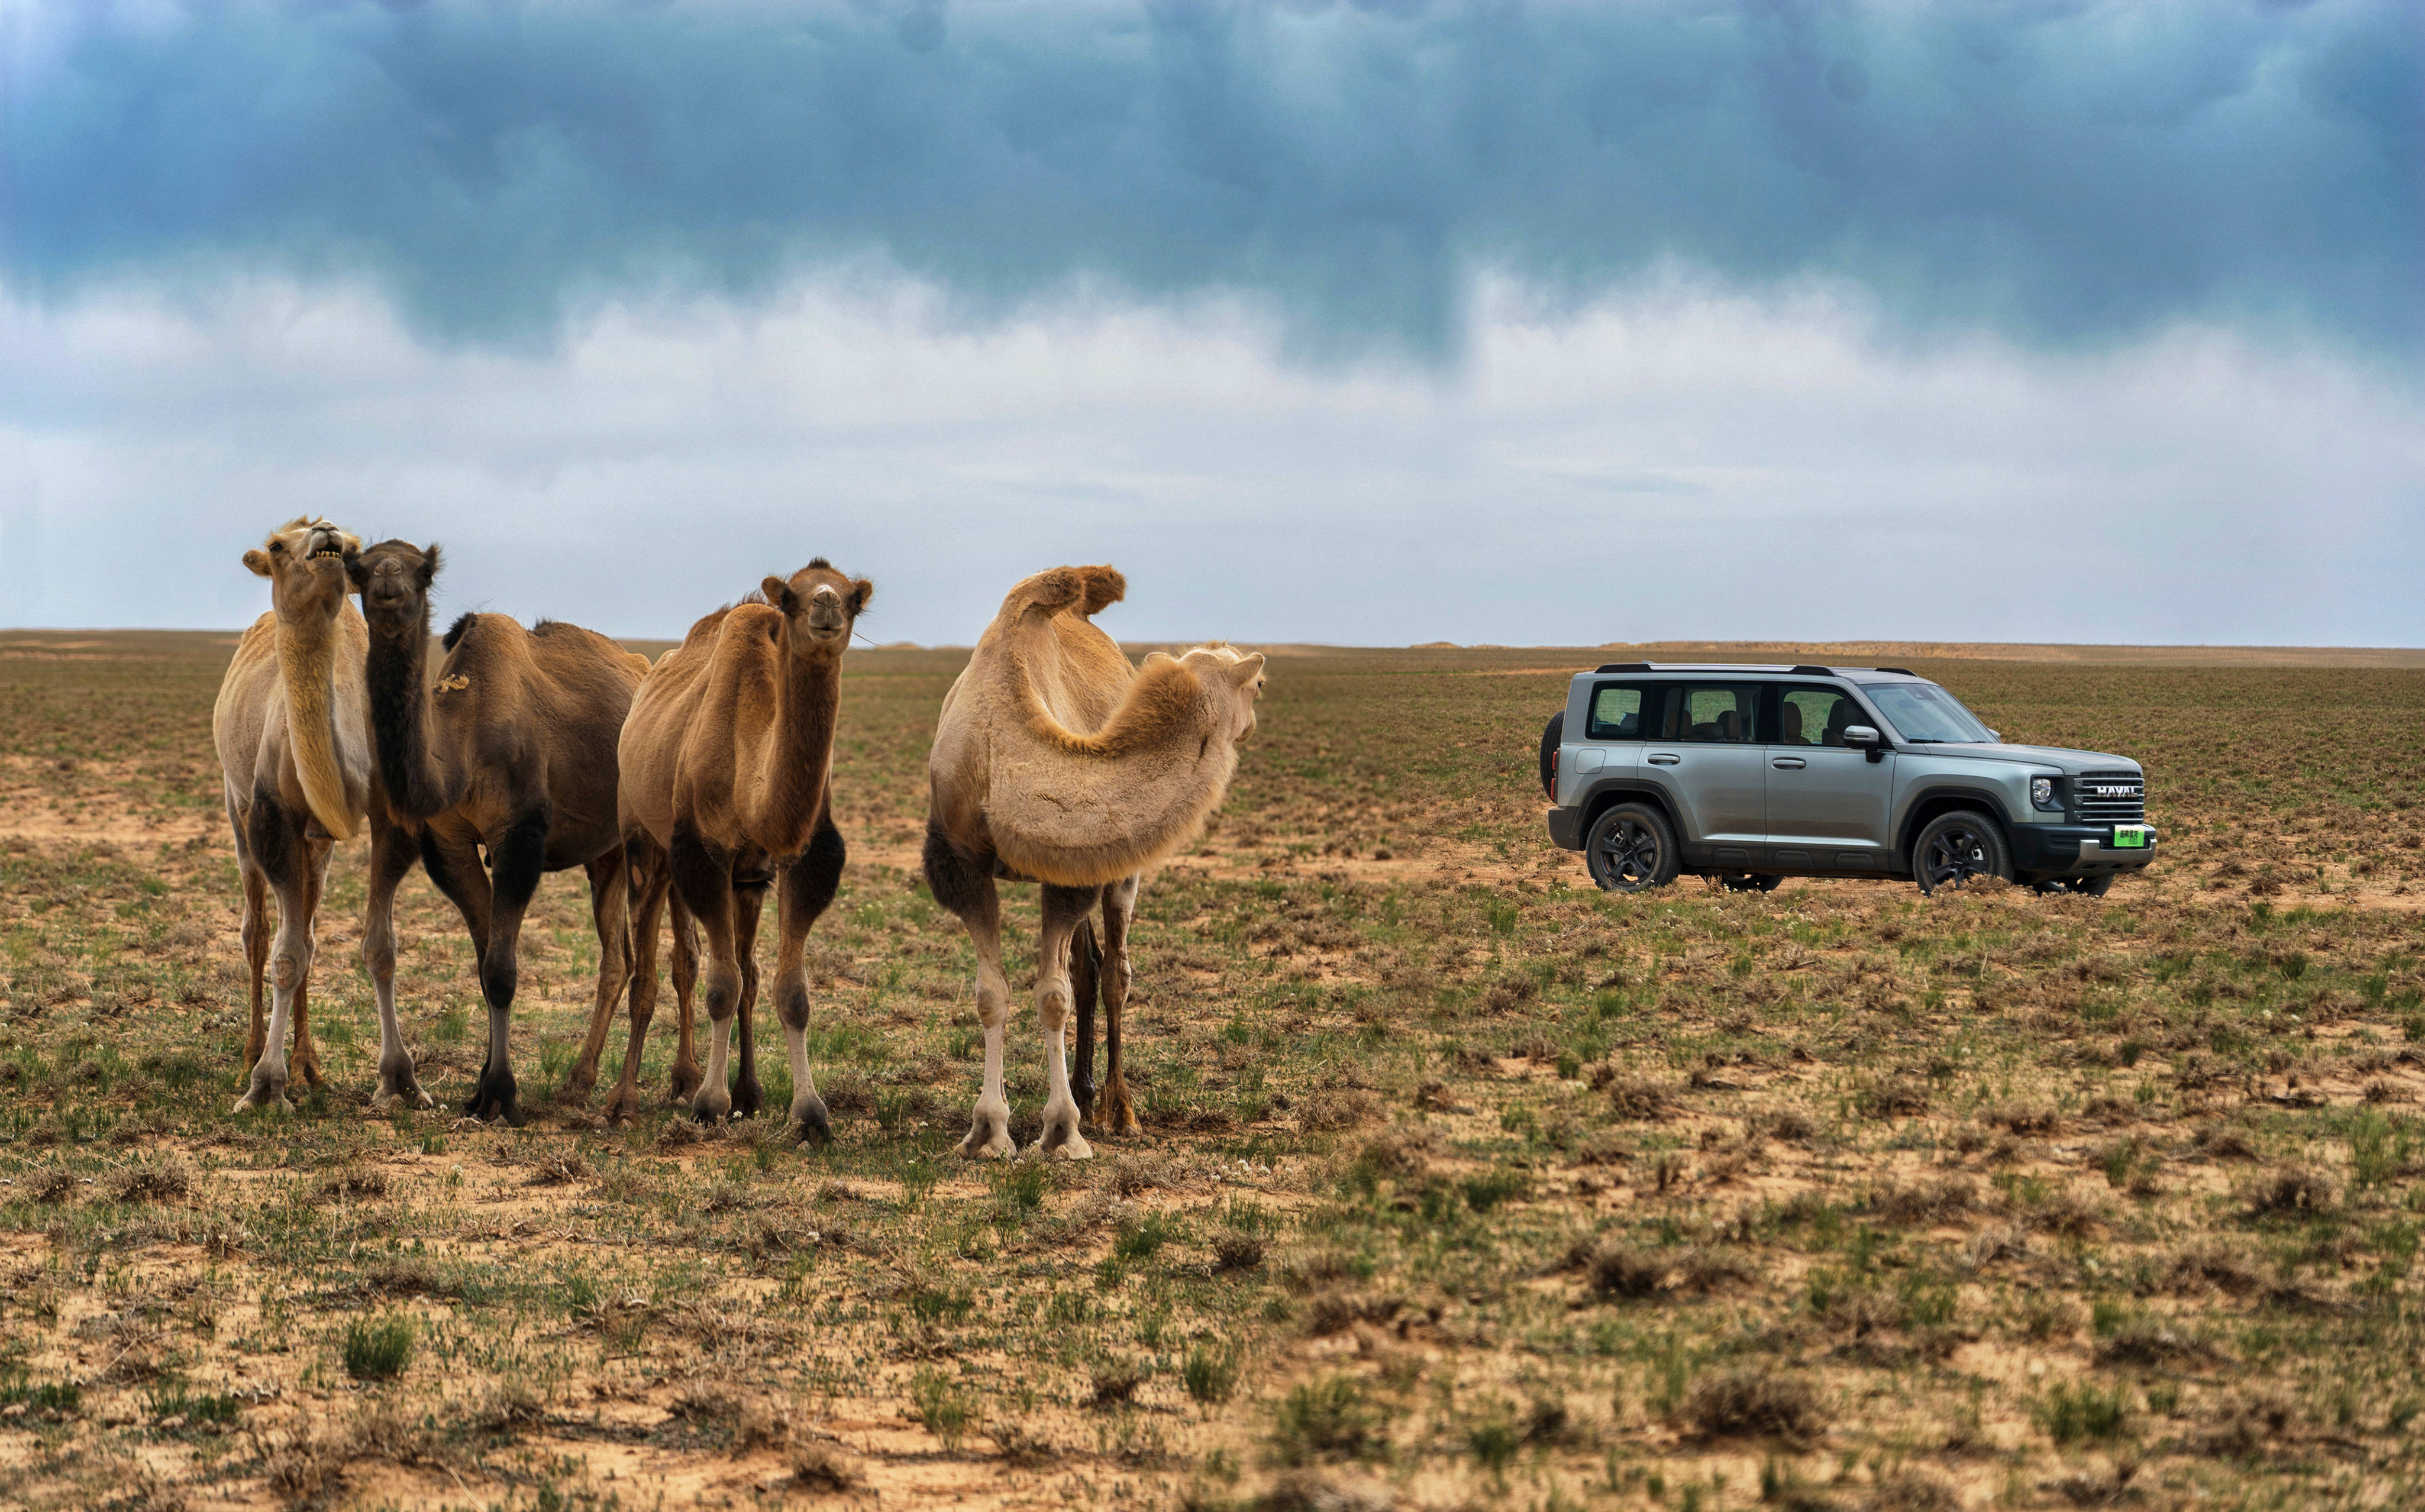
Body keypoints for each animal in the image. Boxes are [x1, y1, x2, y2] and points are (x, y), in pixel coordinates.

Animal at [213, 518, 427, 1110]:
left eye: (354, 550)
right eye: (277, 547)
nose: (326, 532)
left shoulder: (388, 818)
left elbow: (378, 947)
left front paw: (400, 1079)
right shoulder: (272, 815)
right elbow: (284, 953)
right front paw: (266, 1084)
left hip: (319, 844)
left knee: (308, 930)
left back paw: (310, 1065)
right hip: (236, 806)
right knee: (258, 930)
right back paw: (251, 1055)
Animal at [347, 540, 659, 1124]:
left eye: (423, 571)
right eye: (358, 567)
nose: (388, 581)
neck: (460, 748)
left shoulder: (520, 835)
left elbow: (501, 971)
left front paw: (500, 1094)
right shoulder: (448, 843)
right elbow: (482, 961)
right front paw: (479, 1088)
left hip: (647, 840)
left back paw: (637, 1095)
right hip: (605, 853)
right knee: (618, 959)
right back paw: (580, 1082)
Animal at [616, 562, 873, 1139]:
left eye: (854, 598)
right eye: (793, 597)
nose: (827, 606)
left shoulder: (794, 860)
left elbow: (787, 990)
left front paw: (807, 1112)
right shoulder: (702, 852)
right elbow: (721, 985)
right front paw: (709, 1104)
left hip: (743, 880)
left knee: (725, 968)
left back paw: (728, 1088)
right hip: (644, 842)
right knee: (647, 967)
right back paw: (622, 1098)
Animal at [921, 564, 1270, 1158]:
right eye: (1260, 685)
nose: (1251, 725)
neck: (1004, 753)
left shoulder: (1072, 874)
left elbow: (1054, 996)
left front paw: (1061, 1132)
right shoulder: (962, 865)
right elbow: (993, 994)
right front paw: (988, 1130)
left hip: (1116, 870)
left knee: (1113, 974)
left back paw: (1117, 1110)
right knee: (1092, 969)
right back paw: (1086, 1097)